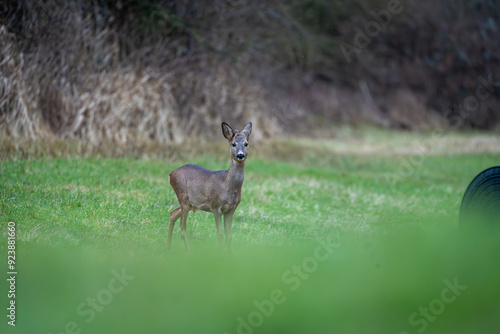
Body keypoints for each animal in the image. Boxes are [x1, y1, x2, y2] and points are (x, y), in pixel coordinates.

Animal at [168, 120, 254, 250]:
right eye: (233, 144)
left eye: (246, 143)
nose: (240, 155)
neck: (228, 186)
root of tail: (171, 174)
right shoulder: (215, 206)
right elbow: (220, 235)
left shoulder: (231, 209)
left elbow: (229, 236)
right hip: (182, 196)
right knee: (182, 228)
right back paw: (188, 251)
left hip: (190, 203)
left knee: (172, 214)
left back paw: (167, 247)